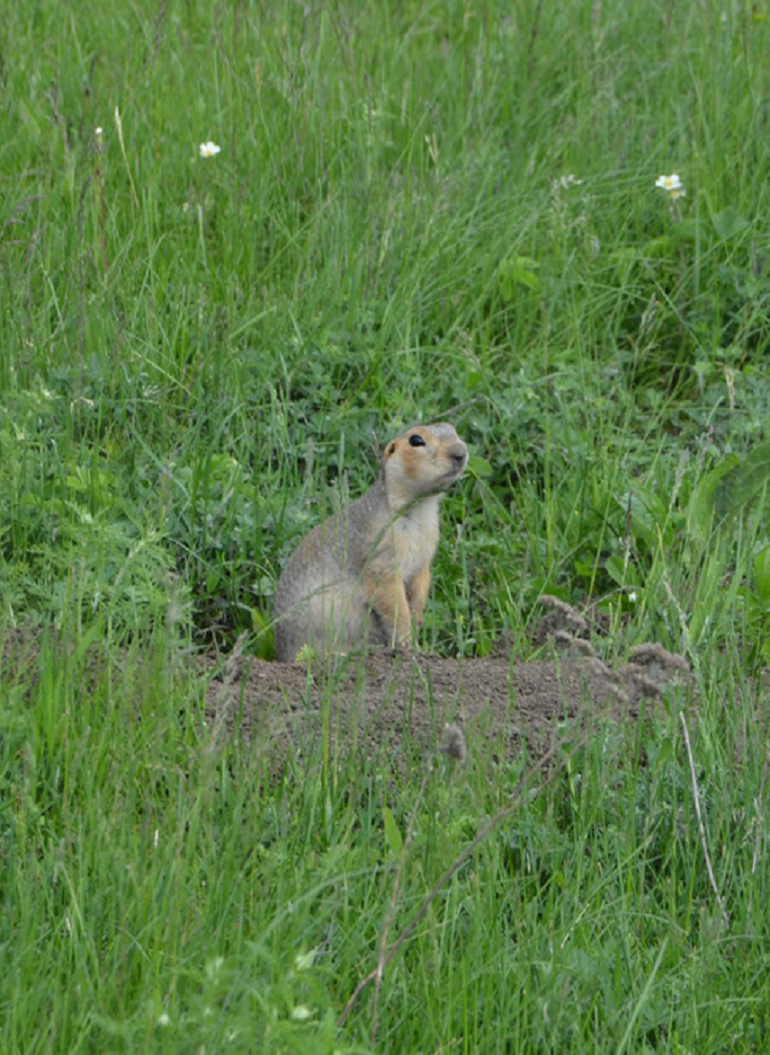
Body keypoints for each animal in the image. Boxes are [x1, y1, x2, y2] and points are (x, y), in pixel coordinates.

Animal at [272, 419, 464, 658]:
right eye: (416, 440)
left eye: (453, 429)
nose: (461, 452)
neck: (419, 509)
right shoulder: (383, 553)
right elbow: (391, 598)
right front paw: (407, 644)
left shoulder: (425, 552)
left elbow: (420, 586)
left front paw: (417, 627)